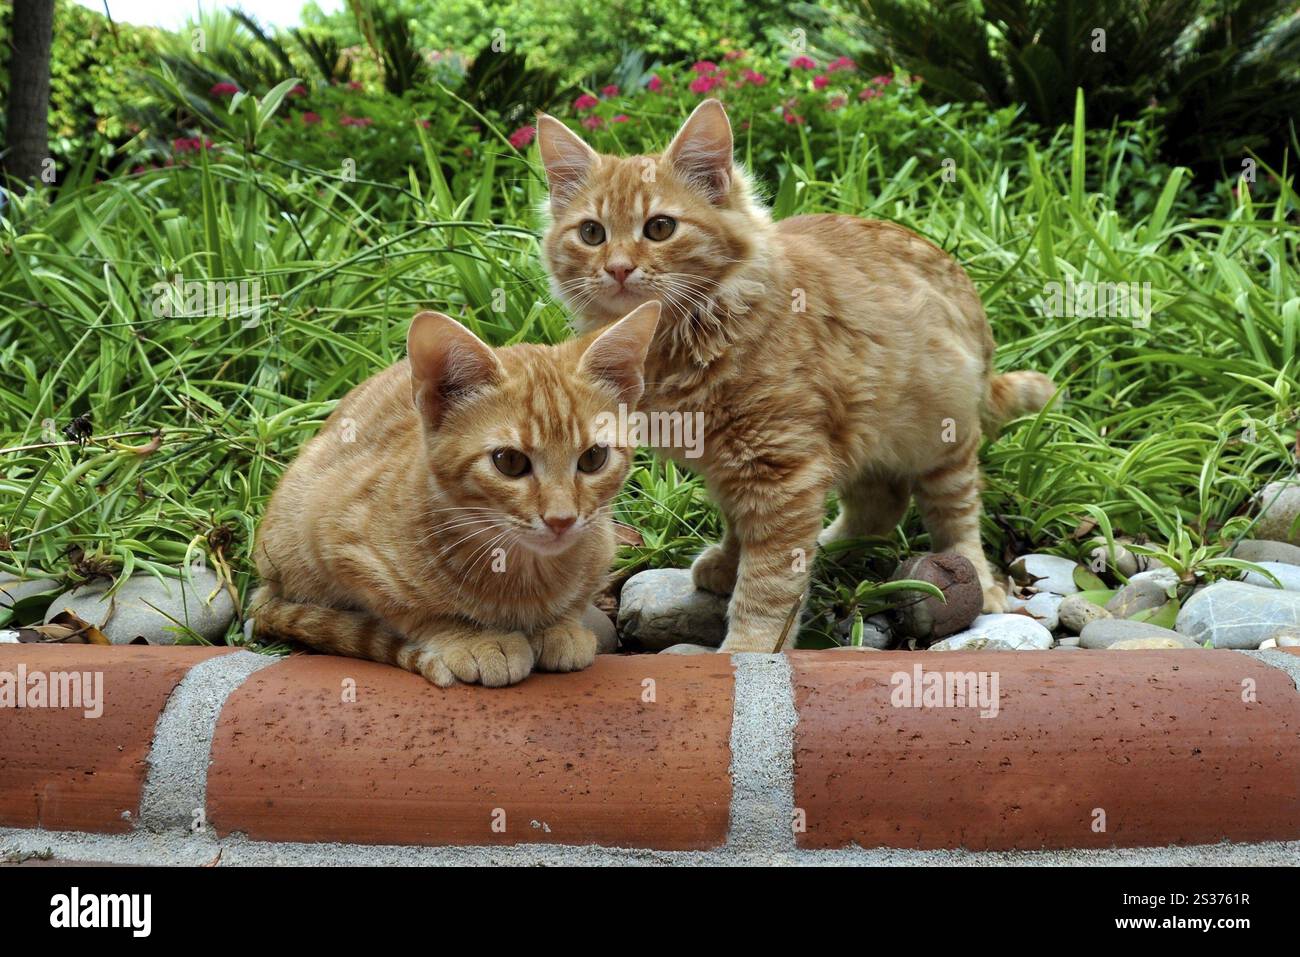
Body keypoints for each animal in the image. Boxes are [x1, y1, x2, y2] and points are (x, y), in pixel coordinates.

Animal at [252, 302, 660, 686]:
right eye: (510, 461)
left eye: (593, 458)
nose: (562, 519)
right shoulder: (337, 540)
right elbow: (415, 612)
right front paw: (475, 639)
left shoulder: (601, 540)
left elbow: (573, 601)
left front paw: (558, 626)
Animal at [538, 98, 1055, 650]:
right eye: (591, 233)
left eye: (659, 228)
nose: (616, 268)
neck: (685, 335)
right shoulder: (733, 464)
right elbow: (740, 529)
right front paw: (727, 566)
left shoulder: (782, 465)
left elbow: (769, 581)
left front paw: (751, 647)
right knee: (882, 503)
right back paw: (831, 549)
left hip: (941, 435)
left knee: (955, 513)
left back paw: (975, 577)